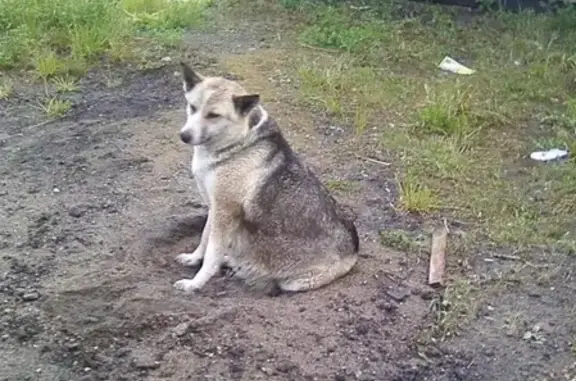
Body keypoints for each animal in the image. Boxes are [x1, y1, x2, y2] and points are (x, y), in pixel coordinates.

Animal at [173, 61, 358, 294]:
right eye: (192, 107)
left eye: (214, 115)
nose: (184, 136)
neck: (238, 143)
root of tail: (354, 250)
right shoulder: (215, 209)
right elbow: (205, 239)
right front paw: (193, 258)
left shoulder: (224, 212)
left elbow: (211, 254)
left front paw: (196, 283)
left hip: (293, 283)